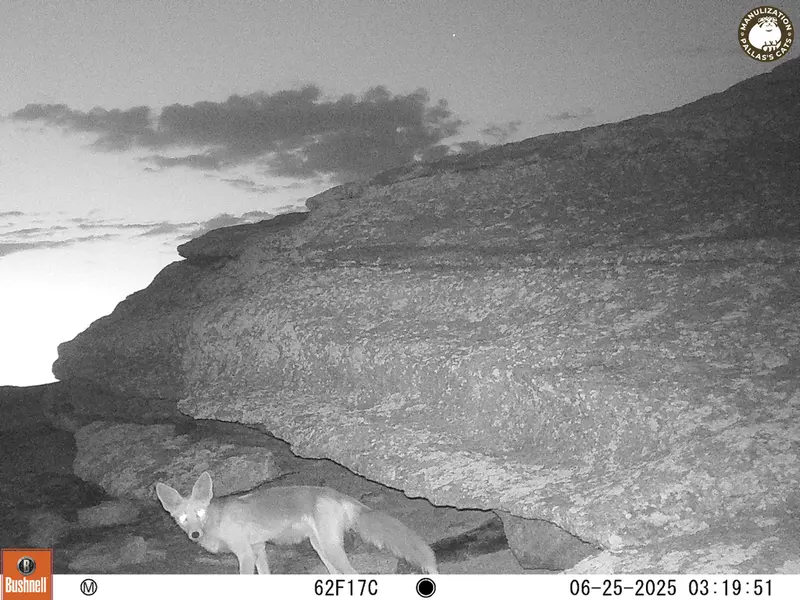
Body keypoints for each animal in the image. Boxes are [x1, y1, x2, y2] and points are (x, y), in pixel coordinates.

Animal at [155, 471, 438, 575]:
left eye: (200, 513)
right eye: (184, 518)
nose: (194, 535)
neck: (217, 522)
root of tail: (336, 494)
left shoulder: (245, 552)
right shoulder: (258, 548)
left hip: (330, 550)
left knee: (354, 575)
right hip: (321, 549)